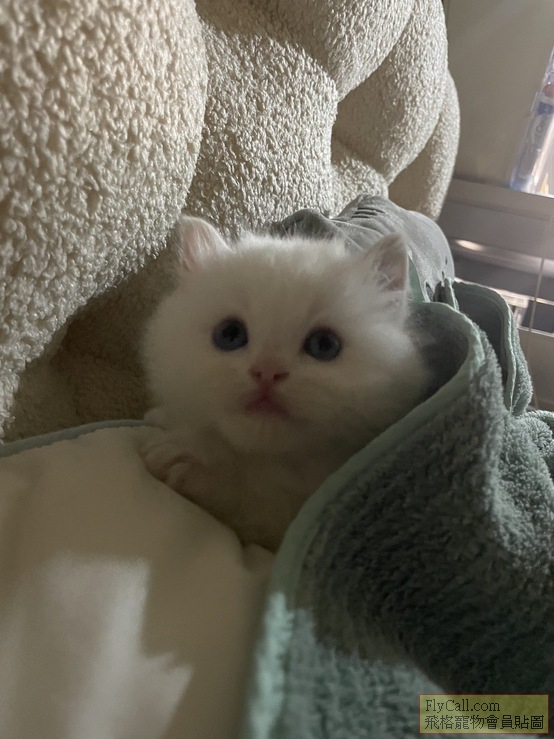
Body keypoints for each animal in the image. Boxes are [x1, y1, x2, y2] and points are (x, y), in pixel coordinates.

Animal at [140, 217, 430, 551]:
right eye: (229, 335)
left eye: (324, 345)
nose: (267, 371)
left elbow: (240, 496)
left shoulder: (283, 522)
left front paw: (185, 463)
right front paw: (163, 419)